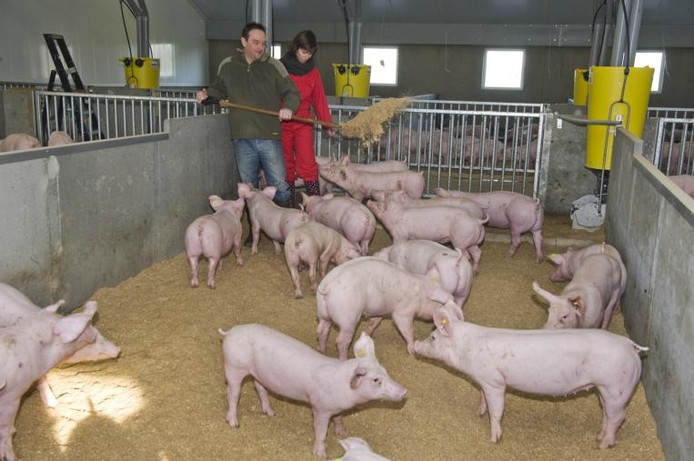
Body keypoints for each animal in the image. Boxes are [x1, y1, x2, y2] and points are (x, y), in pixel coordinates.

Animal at [0, 296, 102, 458]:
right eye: (83, 329)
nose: (94, 334)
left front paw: (54, 403)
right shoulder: (12, 396)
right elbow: (7, 429)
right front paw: (11, 457)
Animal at [222, 324, 408, 456]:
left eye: (385, 371)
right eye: (376, 380)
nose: (404, 391)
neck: (342, 386)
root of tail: (230, 332)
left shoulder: (337, 408)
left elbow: (338, 418)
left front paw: (342, 432)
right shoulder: (320, 408)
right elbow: (321, 431)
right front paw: (320, 454)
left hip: (257, 373)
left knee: (260, 388)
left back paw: (271, 413)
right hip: (233, 367)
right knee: (233, 394)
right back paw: (233, 423)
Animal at [316, 255, 460, 360]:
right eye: (442, 304)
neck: (421, 295)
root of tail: (329, 286)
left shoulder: (379, 311)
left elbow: (374, 322)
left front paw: (367, 334)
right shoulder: (403, 312)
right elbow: (407, 329)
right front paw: (412, 351)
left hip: (323, 313)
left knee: (322, 330)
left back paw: (322, 350)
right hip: (348, 317)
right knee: (341, 341)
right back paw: (343, 358)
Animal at [416, 304, 648, 448]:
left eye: (433, 337)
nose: (415, 345)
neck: (467, 348)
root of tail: (630, 345)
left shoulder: (495, 382)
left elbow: (497, 411)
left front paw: (494, 439)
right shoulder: (484, 381)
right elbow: (482, 399)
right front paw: (479, 413)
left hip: (616, 388)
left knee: (618, 416)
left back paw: (603, 446)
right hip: (604, 389)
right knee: (607, 414)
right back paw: (598, 437)